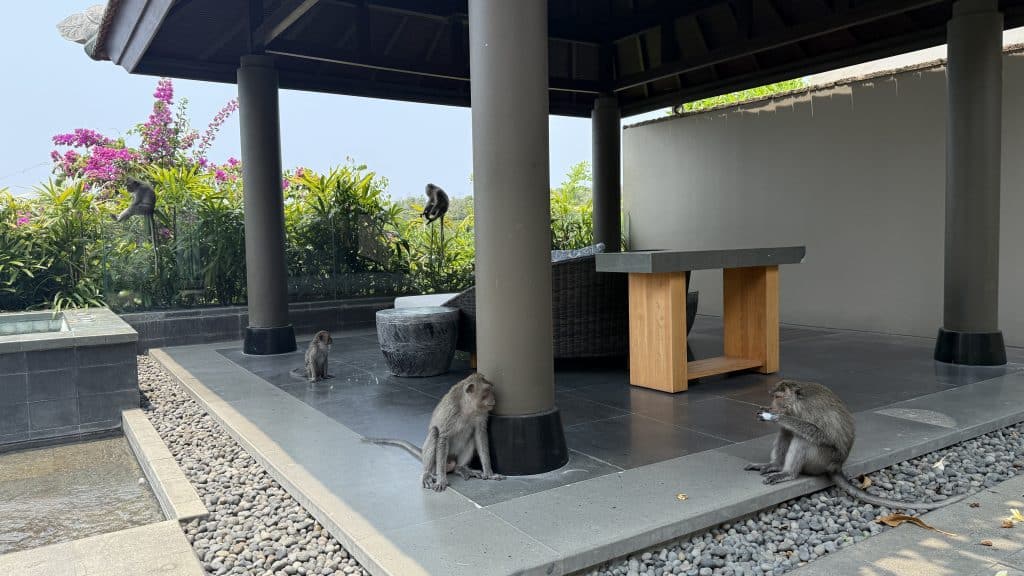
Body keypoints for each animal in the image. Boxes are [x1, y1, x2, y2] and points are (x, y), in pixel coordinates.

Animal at [363, 372, 505, 492]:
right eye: (486, 391)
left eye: (491, 389)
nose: (494, 400)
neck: (467, 407)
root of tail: (450, 463)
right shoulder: (451, 411)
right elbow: (443, 437)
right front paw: (441, 480)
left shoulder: (481, 414)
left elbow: (480, 434)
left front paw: (489, 473)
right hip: (436, 463)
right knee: (434, 433)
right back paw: (427, 474)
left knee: (470, 437)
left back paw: (461, 468)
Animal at [745, 379, 966, 511]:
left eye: (778, 397)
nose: (772, 406)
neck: (798, 403)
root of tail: (836, 466)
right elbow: (788, 429)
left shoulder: (809, 410)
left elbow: (820, 434)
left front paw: (775, 417)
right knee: (788, 432)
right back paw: (775, 466)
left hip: (821, 459)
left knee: (803, 438)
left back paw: (788, 473)